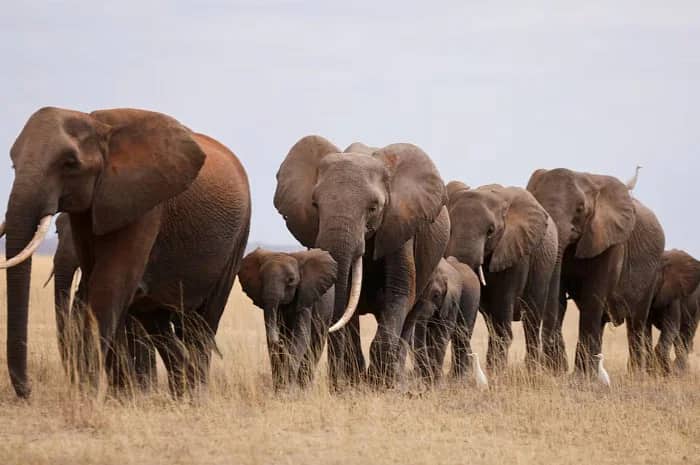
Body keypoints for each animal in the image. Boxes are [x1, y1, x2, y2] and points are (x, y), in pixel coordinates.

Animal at [2, 107, 251, 398]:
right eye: (13, 164)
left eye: (70, 163)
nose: (28, 390)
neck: (98, 125)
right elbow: (95, 283)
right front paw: (117, 397)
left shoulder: (145, 205)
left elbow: (110, 284)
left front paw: (88, 397)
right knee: (159, 322)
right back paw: (181, 392)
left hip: (238, 237)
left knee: (201, 324)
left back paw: (195, 396)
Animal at [238, 248, 337, 390]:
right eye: (261, 279)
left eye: (291, 280)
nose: (279, 341)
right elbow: (272, 344)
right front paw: (280, 388)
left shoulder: (305, 297)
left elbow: (301, 336)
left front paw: (288, 388)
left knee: (314, 347)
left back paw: (305, 388)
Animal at [274, 136, 449, 388]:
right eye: (315, 205)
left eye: (373, 208)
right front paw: (350, 385)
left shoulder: (400, 225)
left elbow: (399, 291)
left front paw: (379, 384)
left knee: (409, 316)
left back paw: (395, 381)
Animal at [446, 182, 558, 370]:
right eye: (451, 228)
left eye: (491, 231)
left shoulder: (515, 249)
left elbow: (503, 305)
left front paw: (496, 373)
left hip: (545, 266)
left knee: (531, 320)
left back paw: (531, 369)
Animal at [527, 168, 665, 376]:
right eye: (539, 206)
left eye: (580, 209)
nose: (550, 367)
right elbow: (559, 301)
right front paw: (559, 373)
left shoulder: (609, 240)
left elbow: (592, 297)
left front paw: (579, 377)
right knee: (602, 320)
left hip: (652, 272)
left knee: (636, 323)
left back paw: (635, 375)